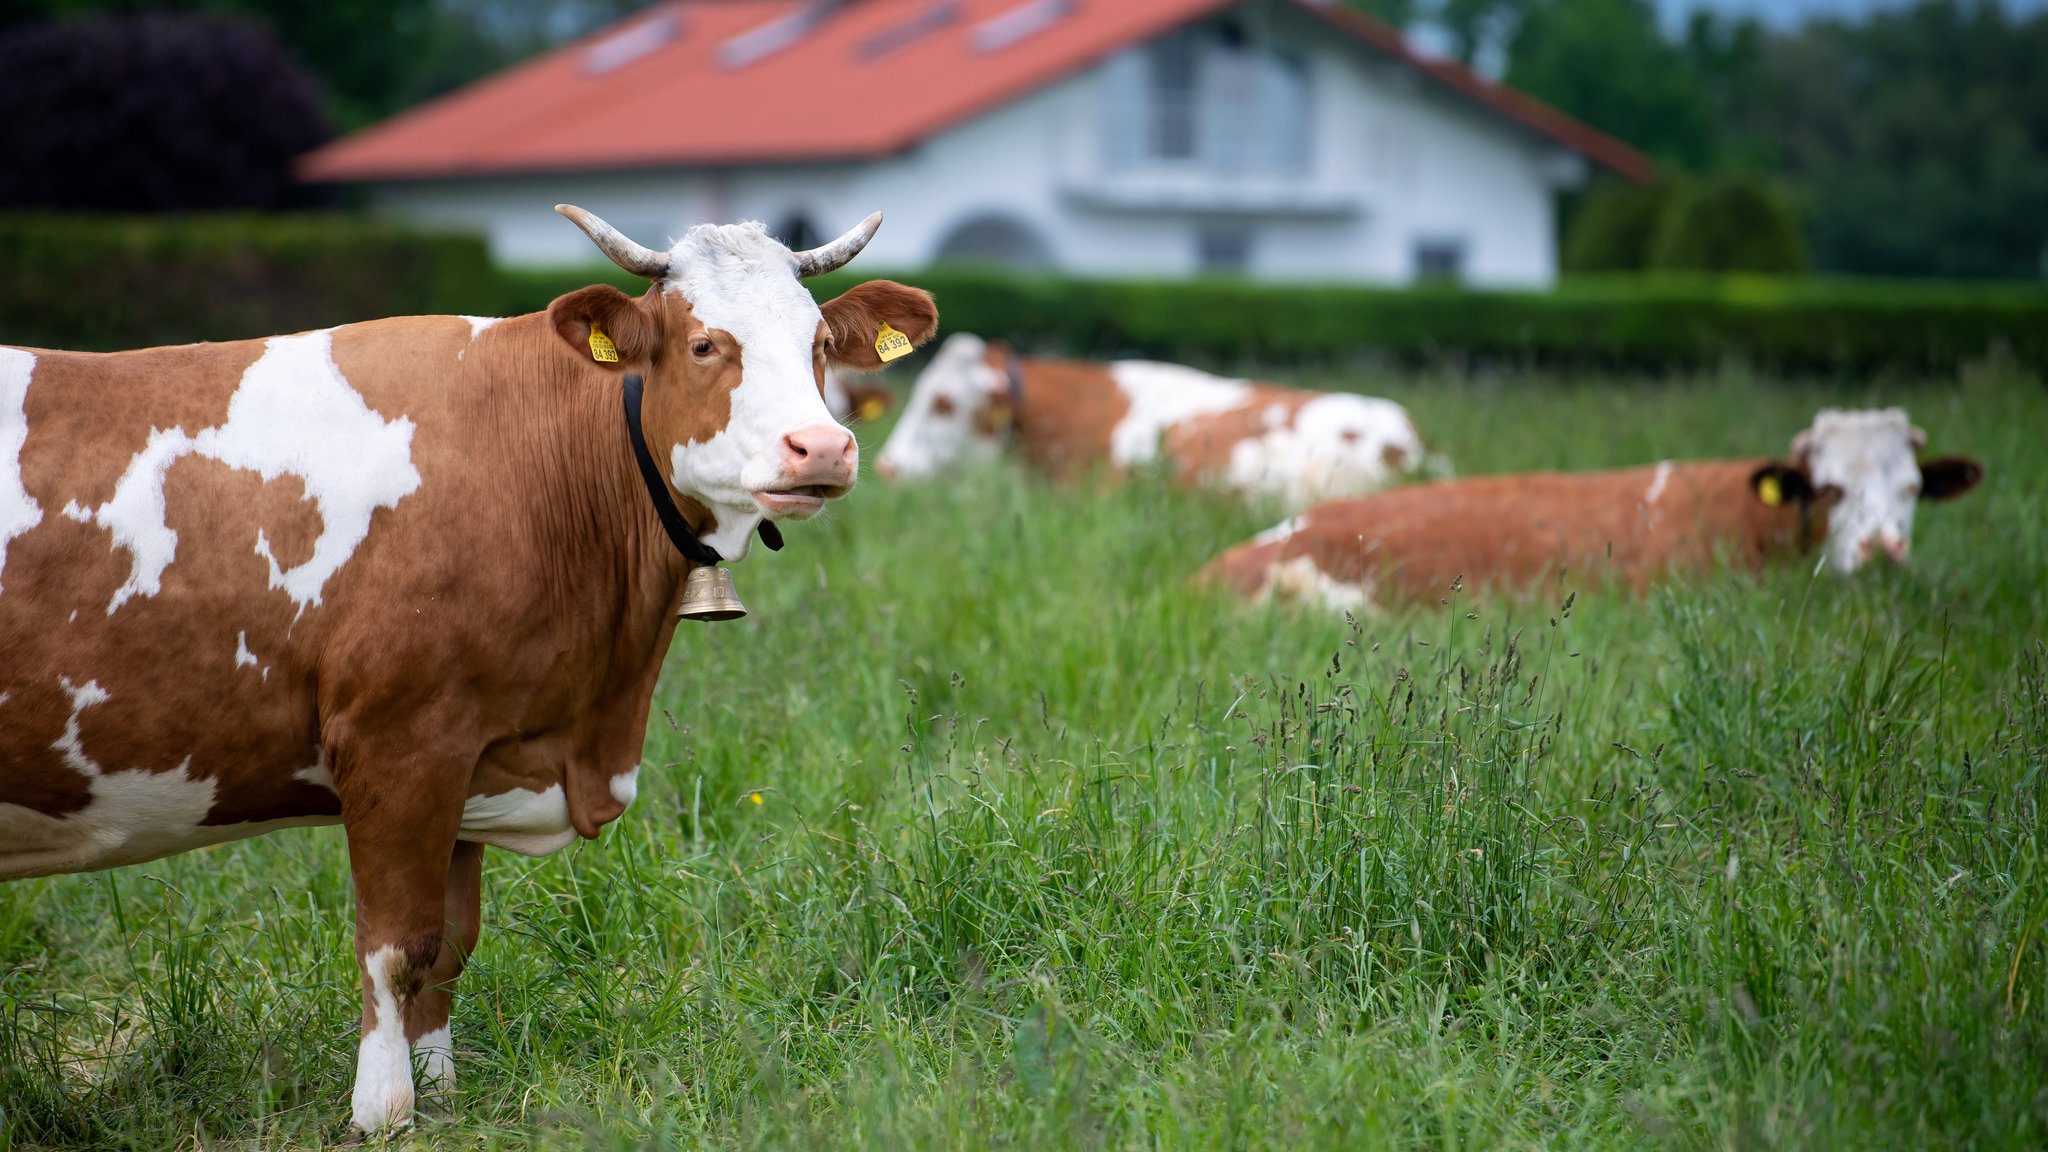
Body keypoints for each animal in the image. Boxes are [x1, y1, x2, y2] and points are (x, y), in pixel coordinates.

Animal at [0, 206, 937, 1131]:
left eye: (819, 341)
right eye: (706, 344)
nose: (822, 448)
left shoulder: (472, 753)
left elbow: (451, 944)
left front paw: (440, 1091)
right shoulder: (399, 744)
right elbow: (397, 946)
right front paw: (383, 1112)